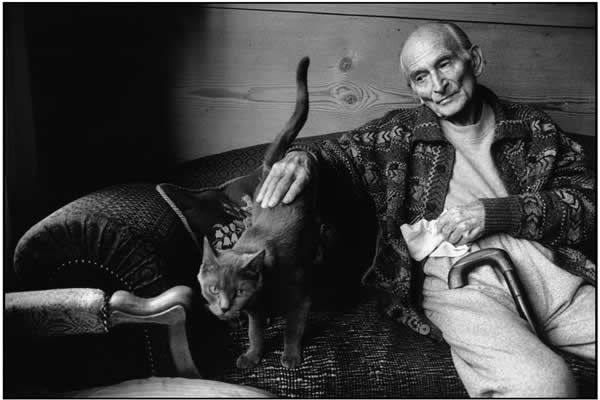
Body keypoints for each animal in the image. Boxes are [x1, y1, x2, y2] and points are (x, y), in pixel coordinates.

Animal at [197, 57, 318, 368]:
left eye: (239, 291)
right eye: (213, 289)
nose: (225, 308)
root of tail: (272, 167)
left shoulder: (301, 298)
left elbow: (294, 327)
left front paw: (290, 356)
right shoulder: (254, 311)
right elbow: (255, 332)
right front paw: (252, 356)